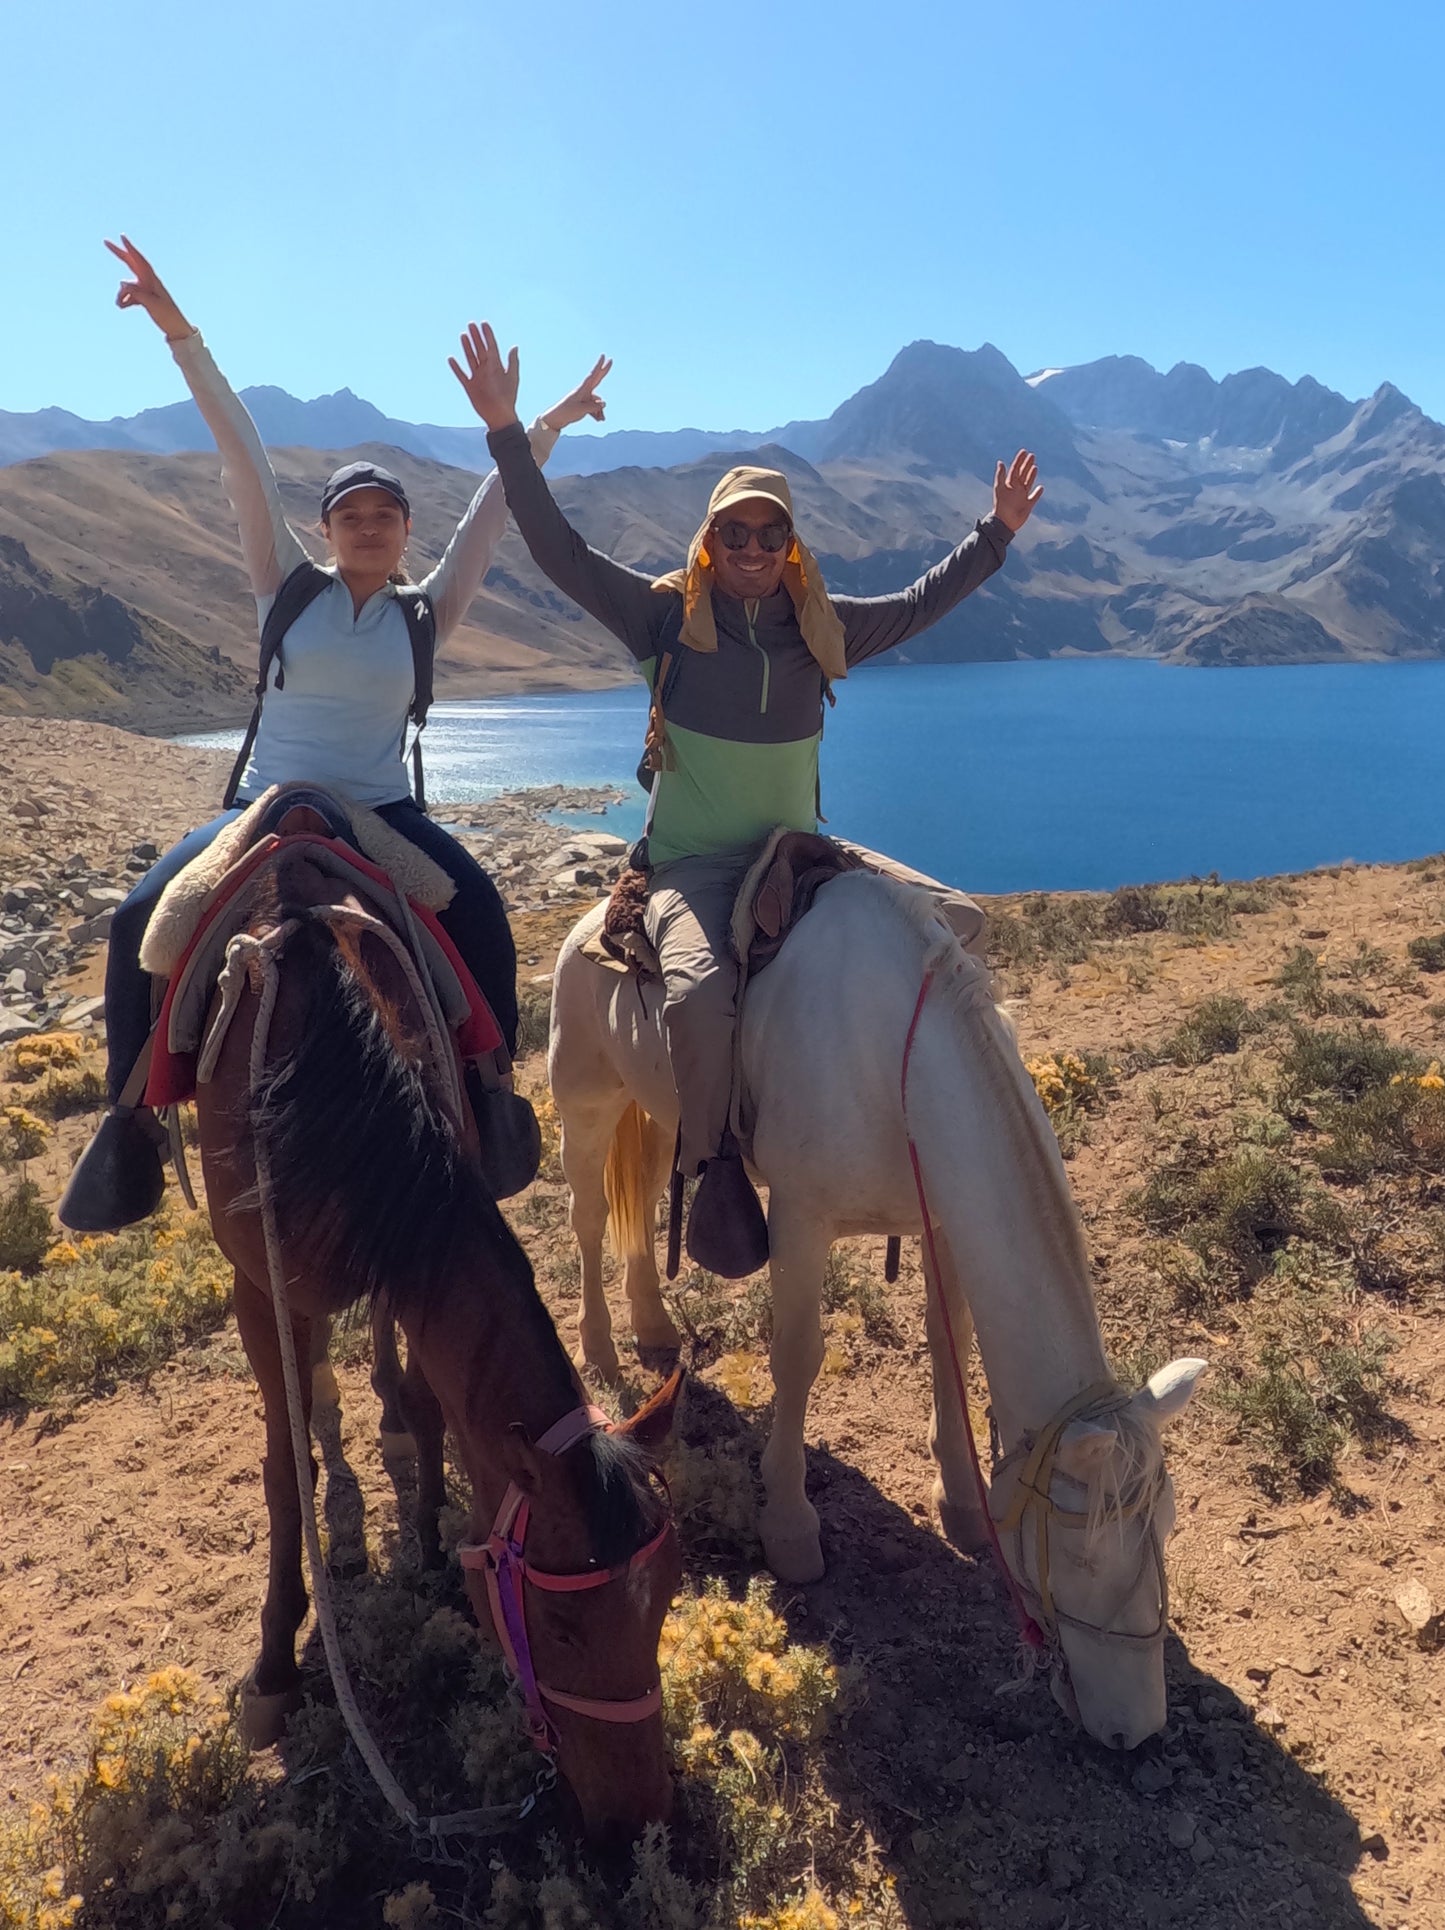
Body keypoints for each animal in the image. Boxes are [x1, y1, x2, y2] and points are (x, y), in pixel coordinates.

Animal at [191, 829, 682, 1837]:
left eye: (665, 1600)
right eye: (562, 1623)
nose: (642, 1821)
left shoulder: (405, 1250)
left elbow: (425, 1400)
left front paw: (424, 1548)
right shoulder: (261, 1290)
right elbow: (283, 1470)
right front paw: (274, 1668)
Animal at [547, 872, 1203, 1752]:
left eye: (1164, 1528)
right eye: (1082, 1556)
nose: (1135, 1731)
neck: (894, 1062)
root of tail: (588, 919)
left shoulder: (939, 1225)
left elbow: (950, 1345)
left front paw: (959, 1499)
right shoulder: (799, 1220)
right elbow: (796, 1357)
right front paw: (790, 1525)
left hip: (656, 1114)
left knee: (642, 1207)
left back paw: (652, 1329)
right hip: (586, 1104)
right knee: (588, 1220)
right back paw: (600, 1349)